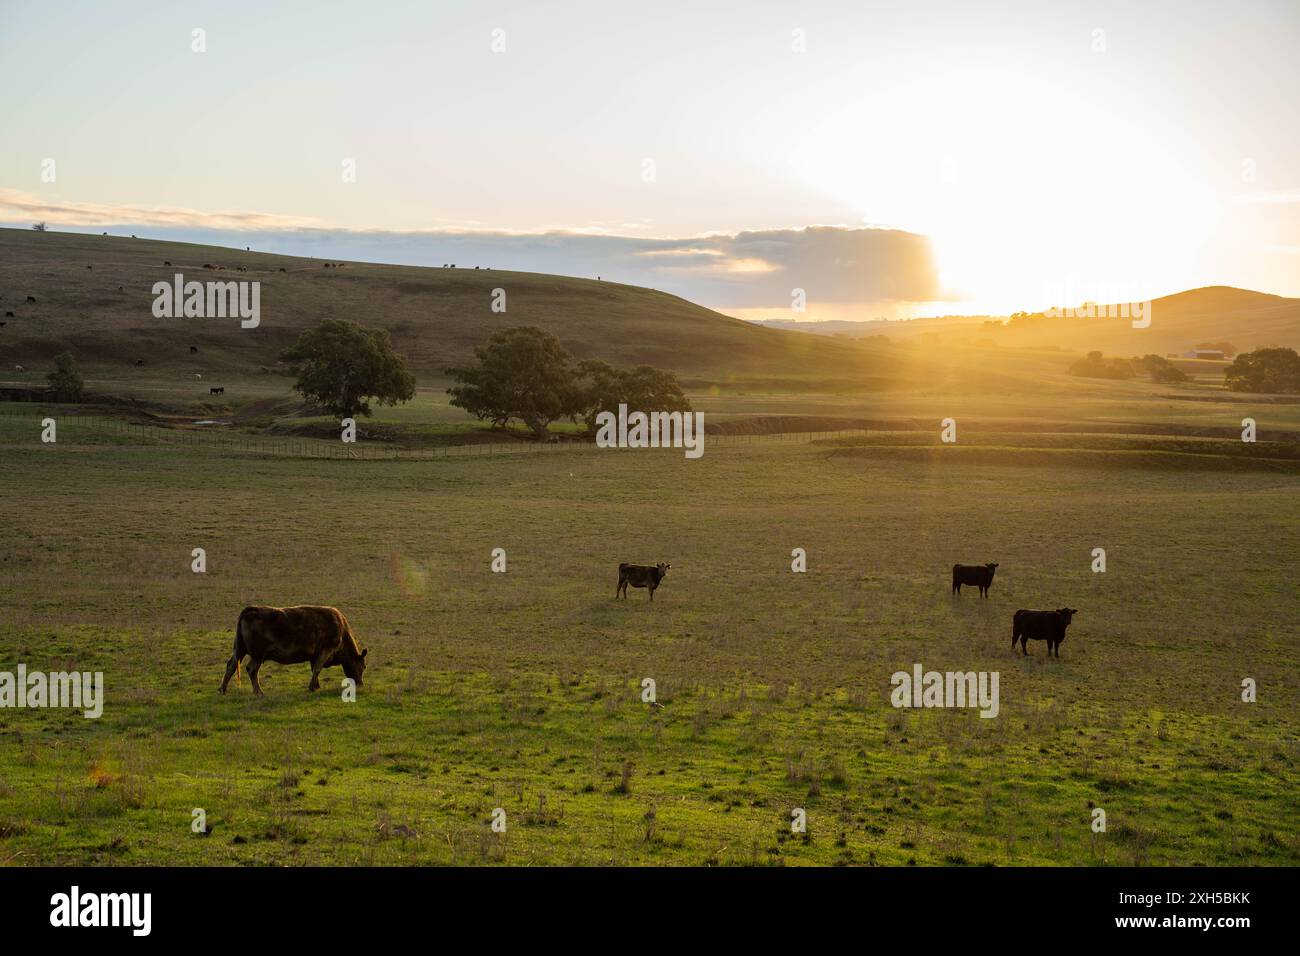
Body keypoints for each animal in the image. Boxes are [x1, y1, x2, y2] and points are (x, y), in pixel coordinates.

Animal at [218, 606, 369, 697]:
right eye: (363, 666)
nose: (360, 684)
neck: (341, 628)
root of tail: (251, 610)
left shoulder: (314, 655)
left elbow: (314, 669)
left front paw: (316, 686)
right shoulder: (325, 651)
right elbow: (317, 669)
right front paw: (312, 687)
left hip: (239, 649)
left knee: (231, 665)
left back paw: (222, 690)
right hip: (257, 655)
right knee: (252, 669)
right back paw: (259, 692)